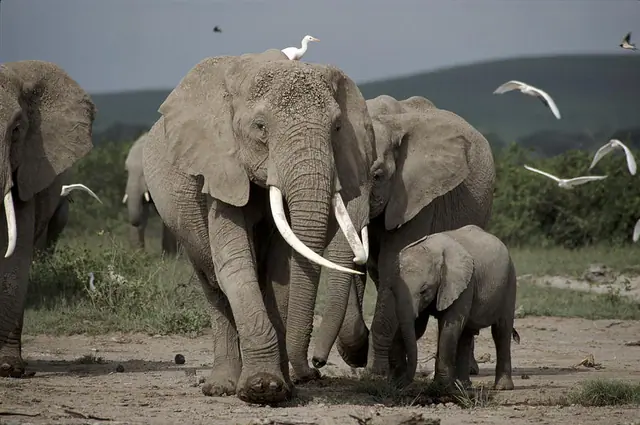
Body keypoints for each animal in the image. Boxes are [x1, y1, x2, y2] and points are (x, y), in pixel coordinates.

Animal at [142, 49, 373, 404]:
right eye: (260, 127)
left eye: (336, 127)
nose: (316, 369)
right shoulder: (220, 169)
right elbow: (234, 264)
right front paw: (261, 388)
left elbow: (281, 271)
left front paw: (280, 389)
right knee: (213, 285)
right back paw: (221, 387)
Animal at [311, 95, 496, 378]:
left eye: (377, 176)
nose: (317, 363)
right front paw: (361, 358)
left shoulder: (418, 197)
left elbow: (393, 265)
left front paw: (375, 374)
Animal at [392, 224, 517, 392]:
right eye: (393, 290)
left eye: (424, 290)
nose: (403, 383)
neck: (433, 249)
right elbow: (418, 327)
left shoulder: (464, 285)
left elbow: (449, 327)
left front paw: (441, 387)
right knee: (466, 334)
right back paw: (463, 385)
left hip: (510, 282)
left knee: (501, 331)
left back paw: (502, 387)